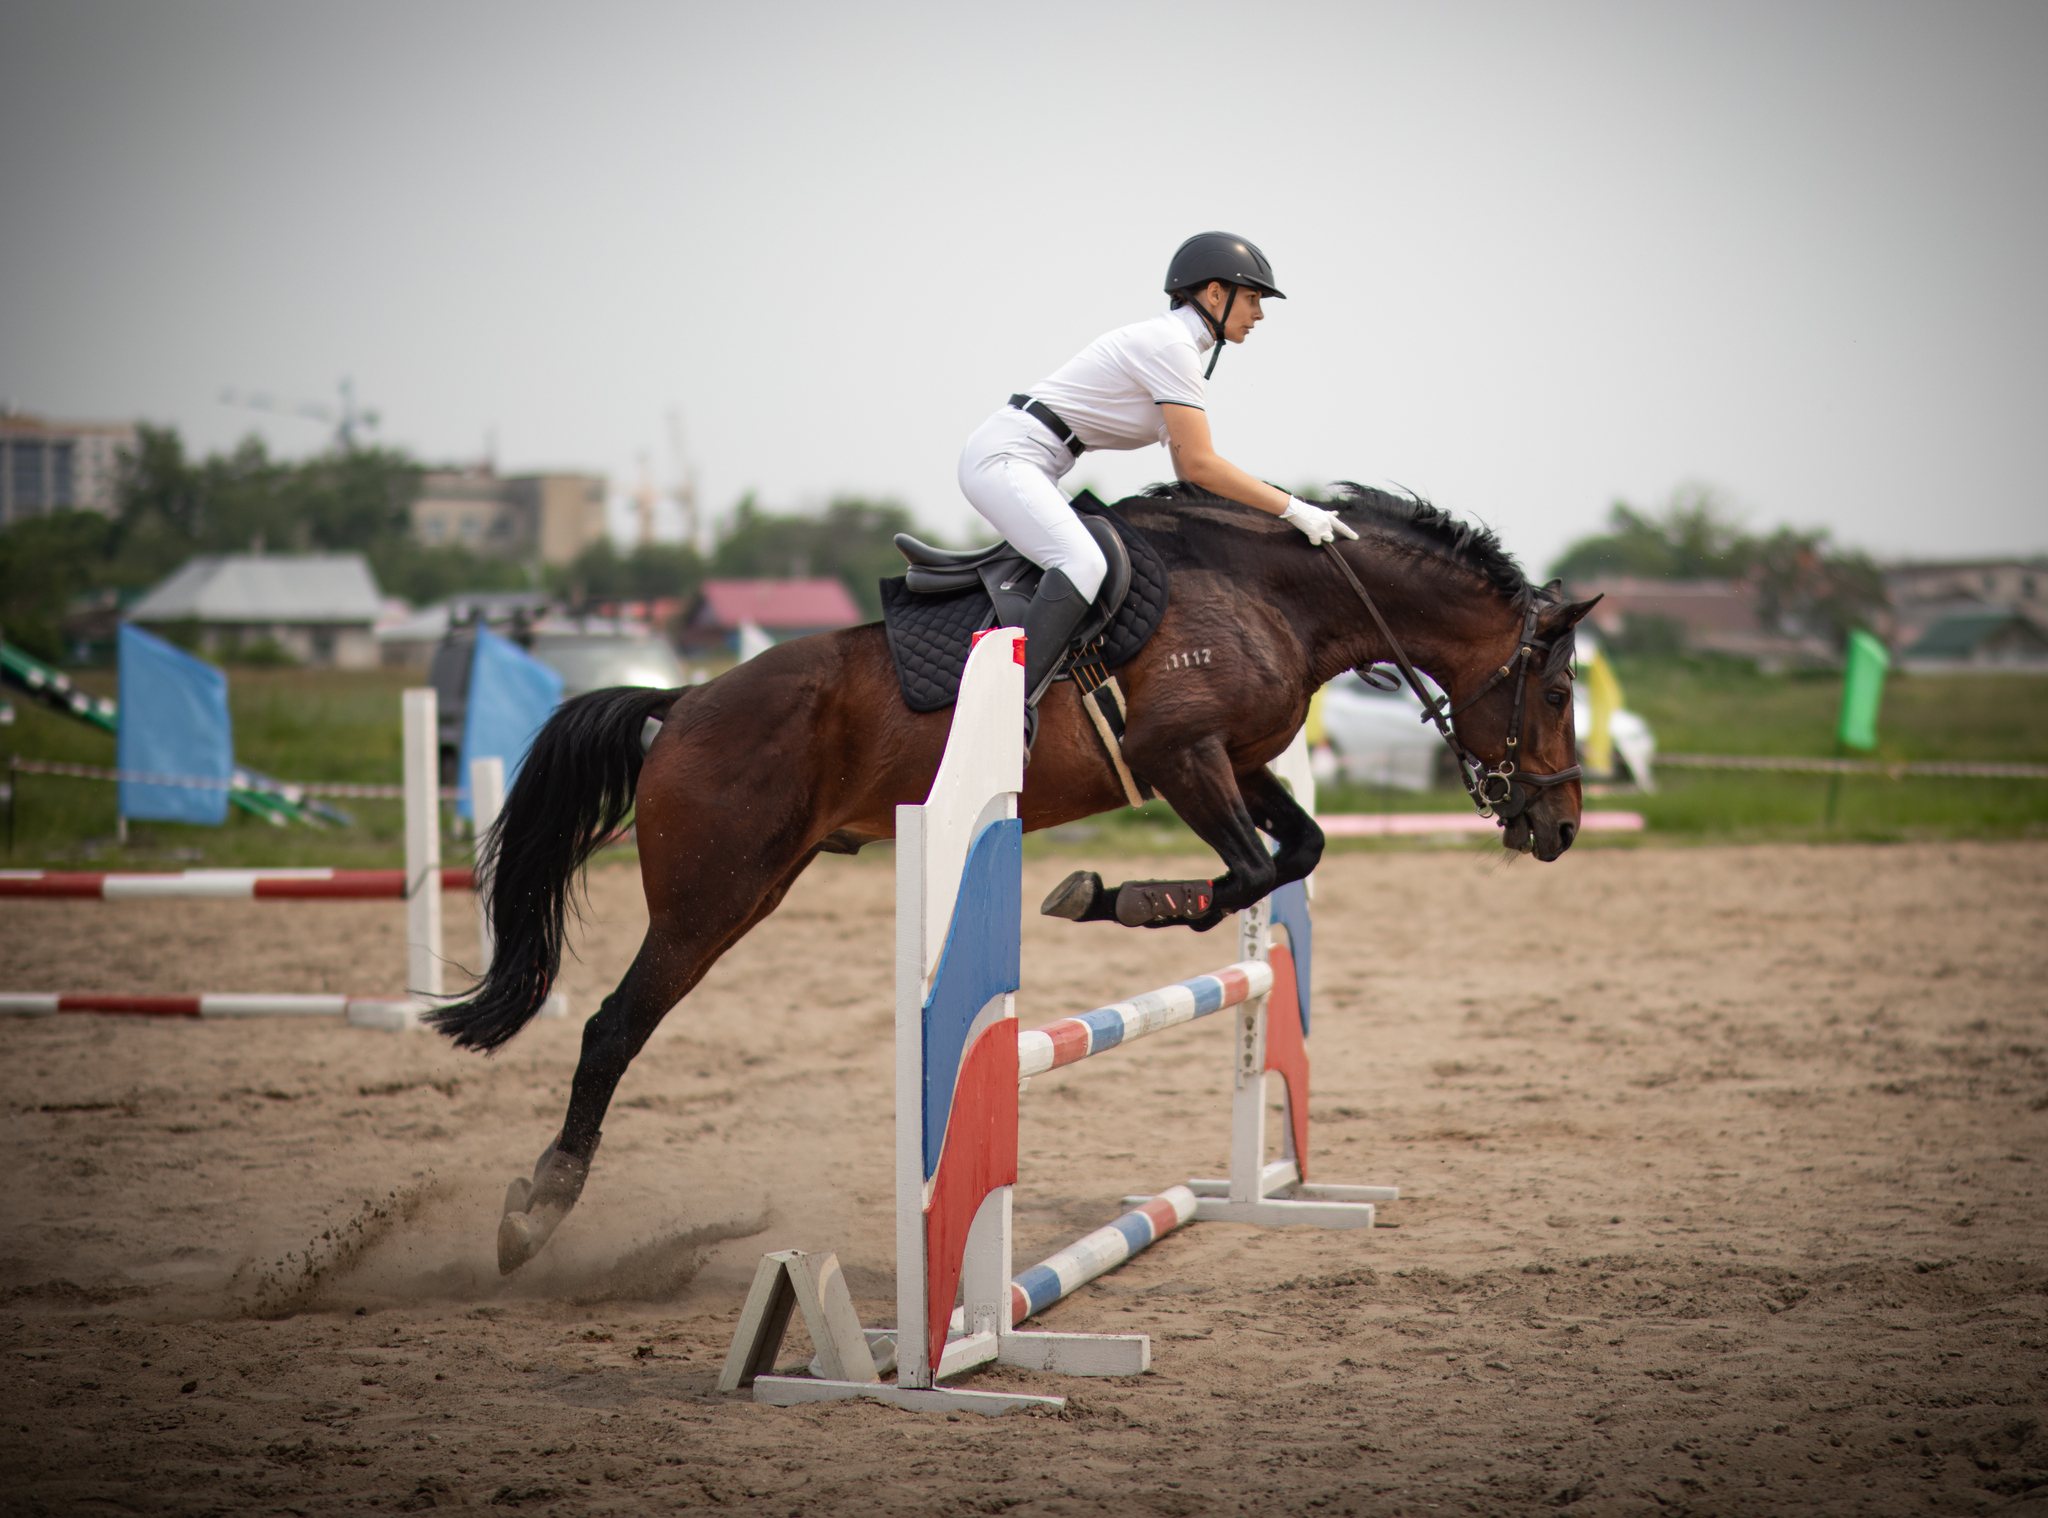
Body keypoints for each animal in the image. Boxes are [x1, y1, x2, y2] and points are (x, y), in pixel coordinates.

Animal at [432, 485, 1597, 1270]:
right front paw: (1115, 898)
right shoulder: (1183, 758)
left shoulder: (1240, 762)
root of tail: (681, 704)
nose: (1559, 825)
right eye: (1552, 695)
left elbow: (1293, 855)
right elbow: (1249, 867)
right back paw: (535, 1213)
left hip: (755, 889)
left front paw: (1127, 900)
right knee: (611, 1029)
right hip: (708, 900)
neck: (1277, 595)